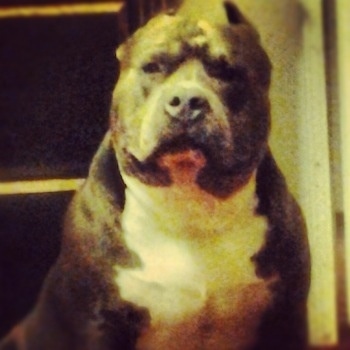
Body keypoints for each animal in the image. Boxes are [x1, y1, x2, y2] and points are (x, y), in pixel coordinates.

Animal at [1, 1, 310, 348]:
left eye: (228, 72)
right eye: (153, 66)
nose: (187, 100)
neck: (189, 208)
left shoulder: (286, 315)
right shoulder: (100, 324)